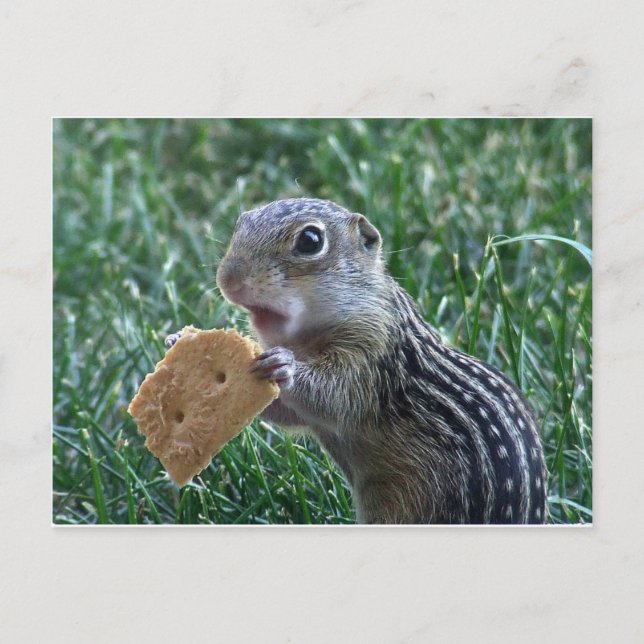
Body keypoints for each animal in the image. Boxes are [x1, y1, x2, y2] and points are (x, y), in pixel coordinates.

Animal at [211, 197, 547, 524]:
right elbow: (290, 414)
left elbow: (334, 396)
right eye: (243, 221)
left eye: (310, 240)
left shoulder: (371, 356)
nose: (228, 280)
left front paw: (285, 367)